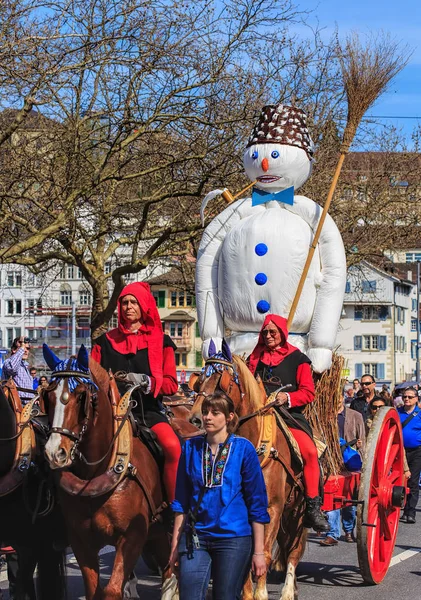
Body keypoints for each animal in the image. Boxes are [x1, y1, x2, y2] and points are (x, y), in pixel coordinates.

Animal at [42, 342, 179, 600]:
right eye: (48, 395)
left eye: (81, 396)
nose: (55, 452)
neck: (96, 473)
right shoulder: (81, 540)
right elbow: (94, 590)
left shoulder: (133, 536)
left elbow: (113, 590)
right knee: (168, 560)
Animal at [189, 350, 306, 600]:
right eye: (199, 382)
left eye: (221, 383)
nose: (195, 418)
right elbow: (245, 553)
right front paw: (247, 593)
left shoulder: (272, 507)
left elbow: (264, 553)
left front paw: (260, 593)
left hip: (298, 511)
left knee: (294, 549)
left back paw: (288, 590)